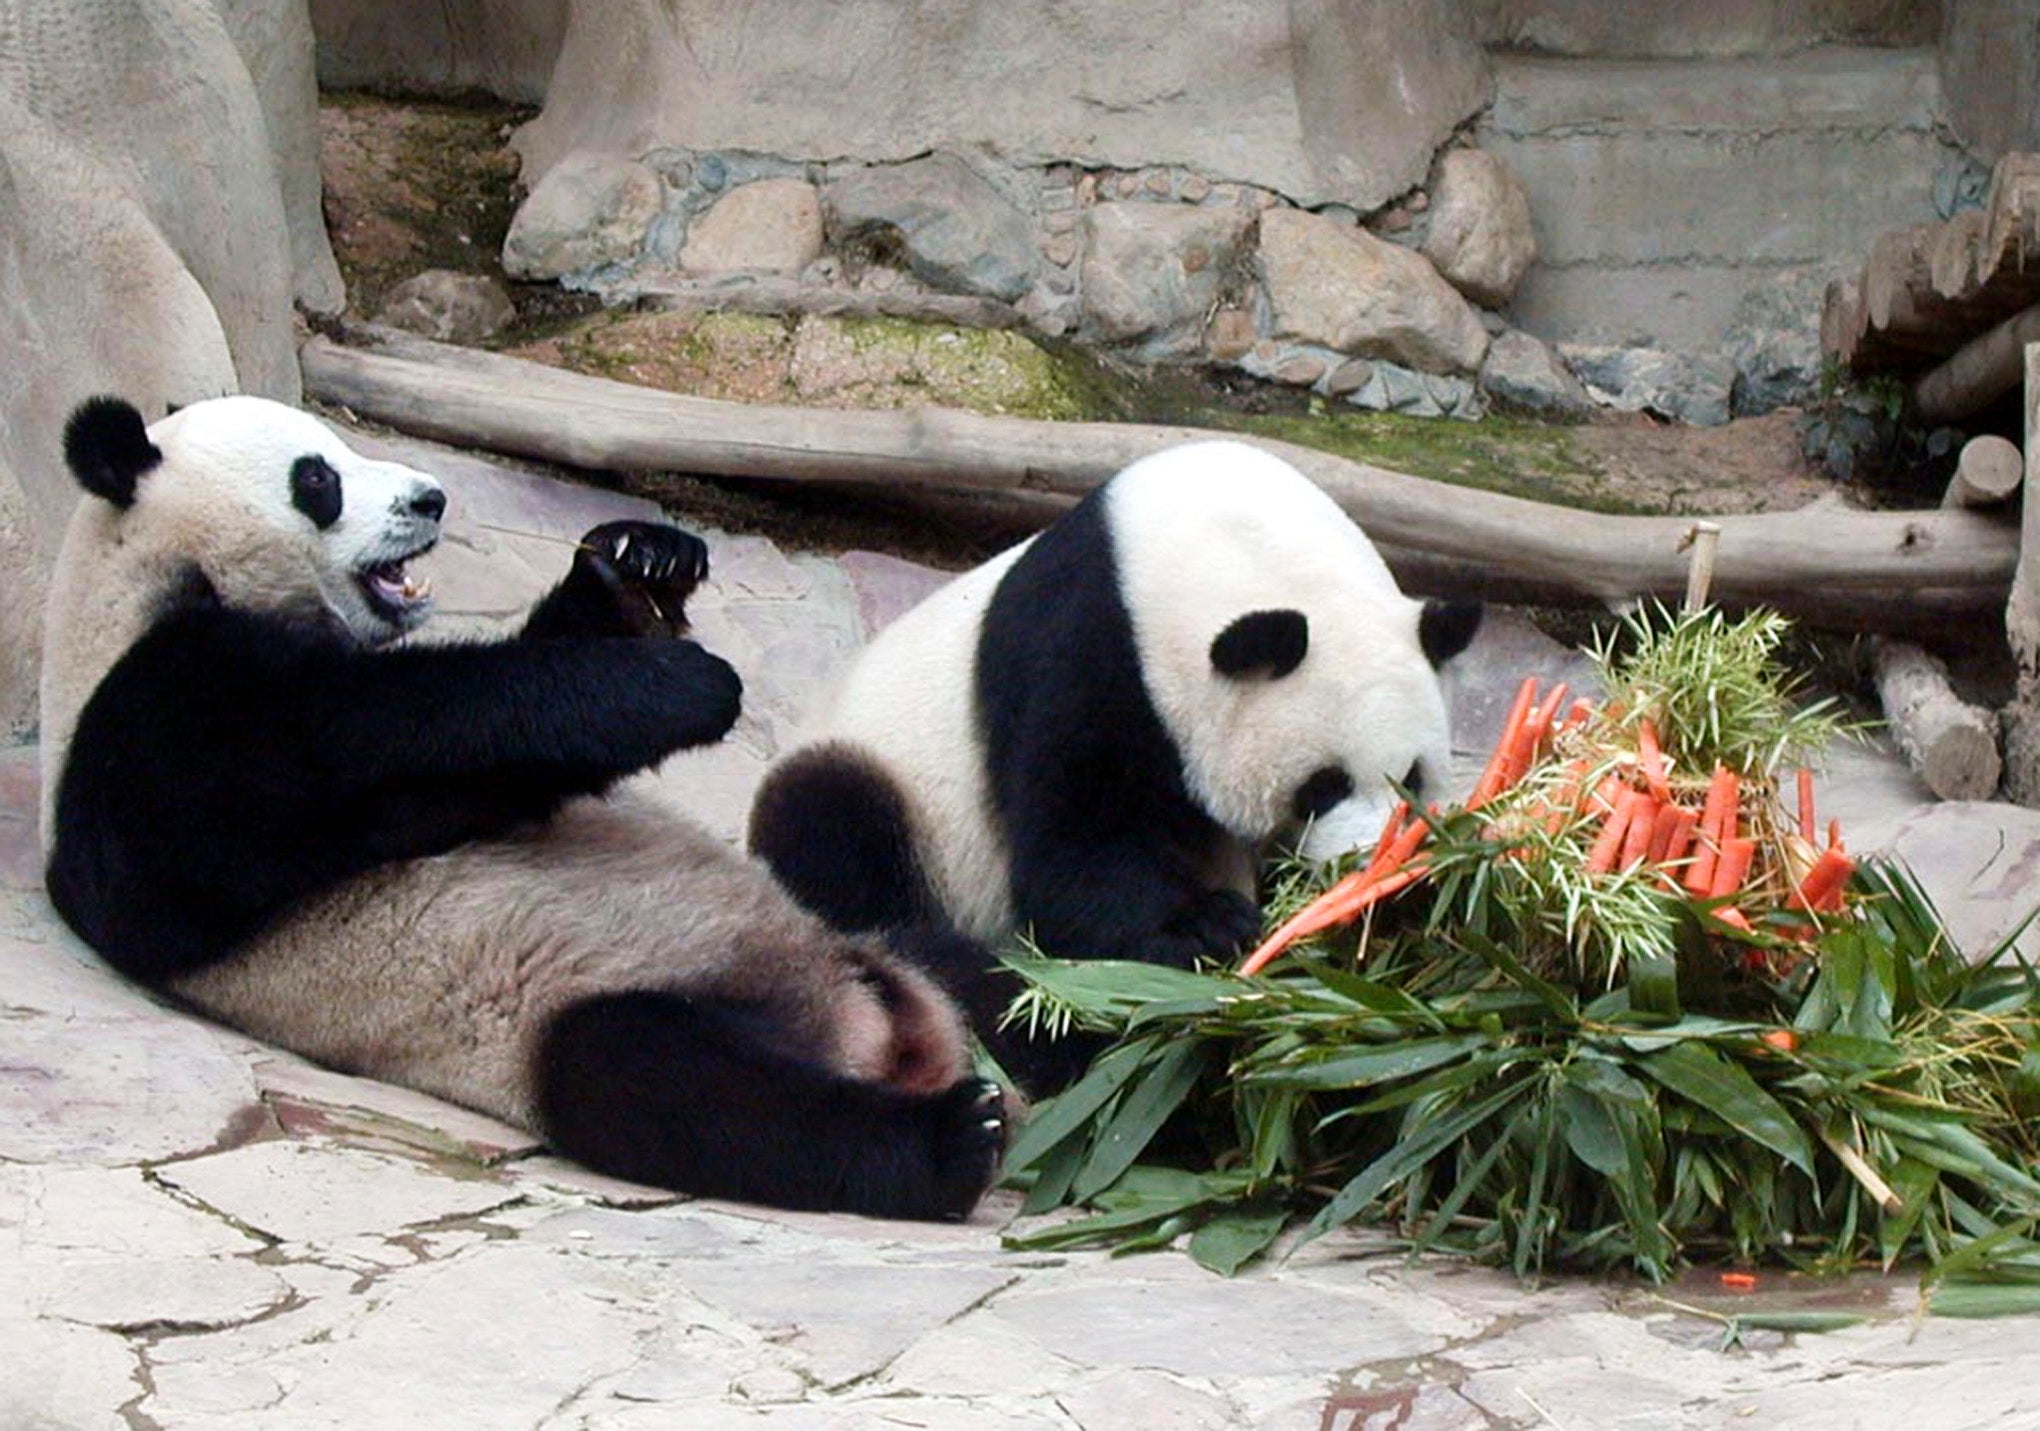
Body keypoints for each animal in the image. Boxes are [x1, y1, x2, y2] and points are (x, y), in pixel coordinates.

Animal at [39, 393, 1004, 1220]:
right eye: (317, 477)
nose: (430, 498)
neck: (143, 573)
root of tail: (887, 1028)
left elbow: (503, 764)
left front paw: (637, 563)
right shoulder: (146, 737)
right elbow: (347, 752)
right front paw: (671, 683)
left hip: (871, 939)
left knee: (988, 976)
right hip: (582, 1018)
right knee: (674, 1088)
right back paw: (954, 1138)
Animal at [749, 439, 1479, 1093]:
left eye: (1414, 777)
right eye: (1322, 786)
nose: (1366, 866)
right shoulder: (1085, 649)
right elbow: (1076, 850)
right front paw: (1205, 926)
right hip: (883, 784)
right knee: (836, 835)